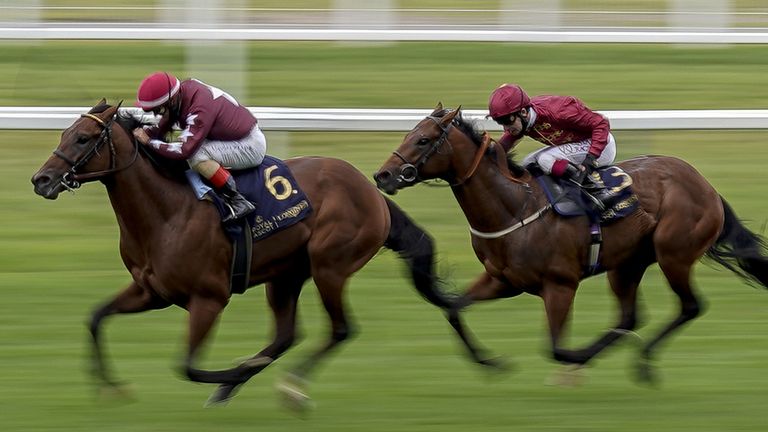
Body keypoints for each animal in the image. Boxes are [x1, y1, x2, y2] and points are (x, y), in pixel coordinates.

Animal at [33, 99, 460, 406]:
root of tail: (371, 189)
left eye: (84, 139)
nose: (41, 179)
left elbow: (188, 367)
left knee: (339, 329)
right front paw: (112, 387)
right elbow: (95, 317)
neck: (167, 212)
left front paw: (232, 376)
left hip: (330, 266)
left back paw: (287, 388)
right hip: (287, 273)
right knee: (286, 335)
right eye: (65, 132)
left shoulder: (208, 298)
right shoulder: (150, 292)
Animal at [374, 104, 768, 382]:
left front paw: (575, 361)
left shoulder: (560, 284)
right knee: (630, 316)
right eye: (409, 133)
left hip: (674, 254)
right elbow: (455, 309)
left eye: (423, 140)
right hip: (628, 263)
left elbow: (557, 349)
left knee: (689, 307)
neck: (514, 207)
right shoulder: (503, 280)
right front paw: (493, 362)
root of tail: (706, 186)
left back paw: (642, 363)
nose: (383, 175)